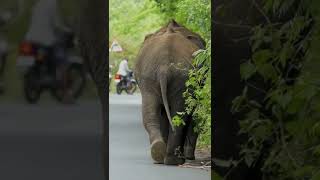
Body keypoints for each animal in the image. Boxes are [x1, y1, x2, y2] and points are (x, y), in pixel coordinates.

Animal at [134, 19, 206, 165]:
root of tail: (163, 67)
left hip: (155, 78)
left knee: (151, 114)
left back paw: (161, 155)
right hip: (178, 79)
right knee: (177, 116)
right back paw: (174, 159)